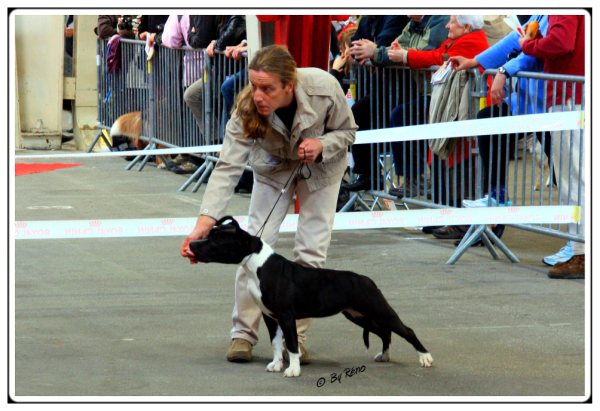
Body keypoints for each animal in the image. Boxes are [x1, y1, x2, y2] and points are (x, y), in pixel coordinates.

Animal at [190, 217, 434, 378]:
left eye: (215, 239)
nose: (192, 244)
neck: (257, 265)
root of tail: (367, 280)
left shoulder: (287, 316)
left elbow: (292, 344)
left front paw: (293, 369)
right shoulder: (271, 317)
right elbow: (277, 343)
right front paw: (276, 365)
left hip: (379, 310)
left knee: (406, 330)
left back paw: (425, 357)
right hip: (358, 315)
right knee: (385, 332)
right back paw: (384, 356)